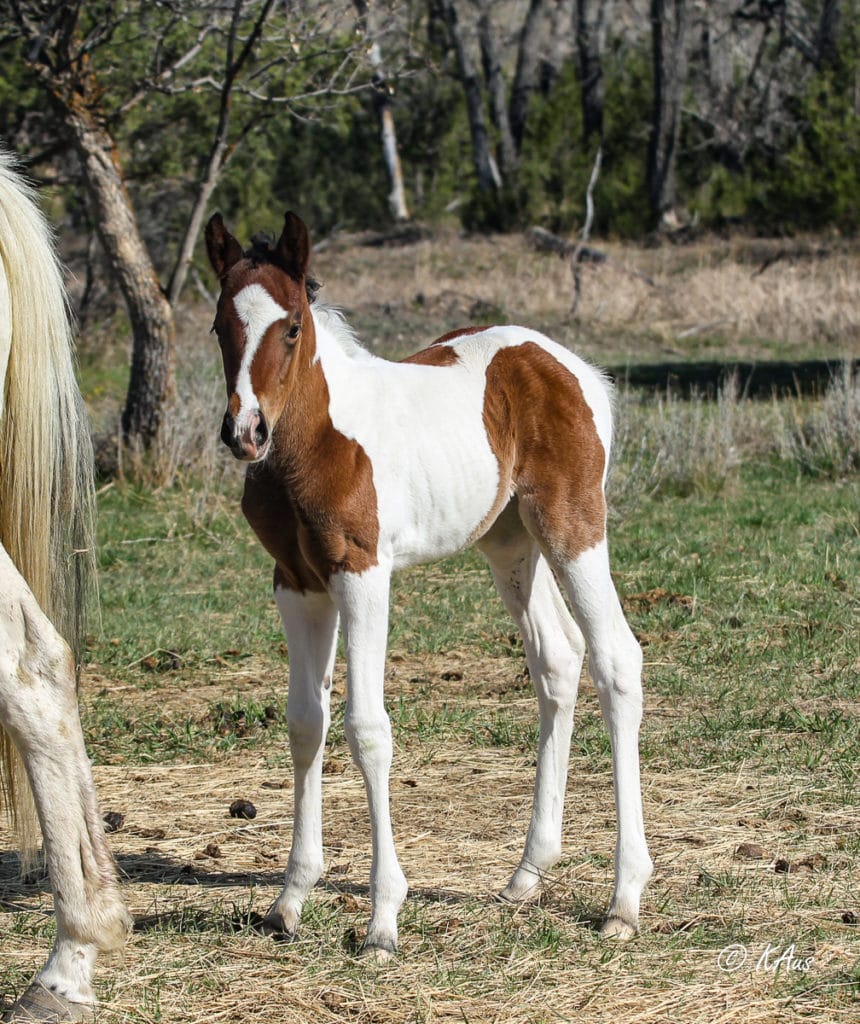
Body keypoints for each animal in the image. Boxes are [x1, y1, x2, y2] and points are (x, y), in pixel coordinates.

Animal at [204, 209, 655, 958]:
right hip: (510, 543)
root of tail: (569, 366)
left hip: (572, 527)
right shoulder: (296, 583)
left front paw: (383, 919)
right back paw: (526, 875)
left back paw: (623, 900)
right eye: (219, 325)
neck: (319, 439)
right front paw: (289, 899)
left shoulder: (363, 575)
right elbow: (305, 724)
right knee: (558, 659)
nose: (246, 432)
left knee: (617, 659)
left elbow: (366, 729)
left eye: (292, 325)